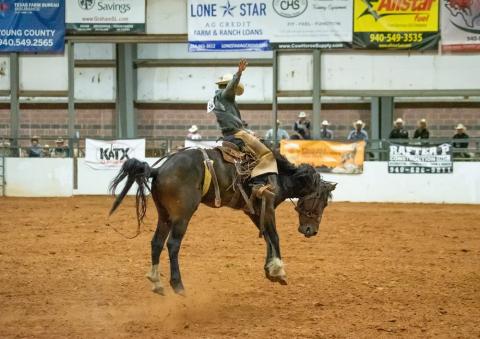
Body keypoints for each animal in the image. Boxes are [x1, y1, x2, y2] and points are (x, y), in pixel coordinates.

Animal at [109, 145, 336, 296]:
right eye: (322, 202)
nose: (311, 230)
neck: (277, 175)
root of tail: (159, 170)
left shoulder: (254, 211)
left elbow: (267, 237)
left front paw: (269, 270)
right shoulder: (268, 205)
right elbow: (275, 236)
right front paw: (279, 270)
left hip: (164, 215)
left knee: (156, 243)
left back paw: (157, 282)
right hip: (182, 216)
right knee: (172, 244)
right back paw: (178, 285)